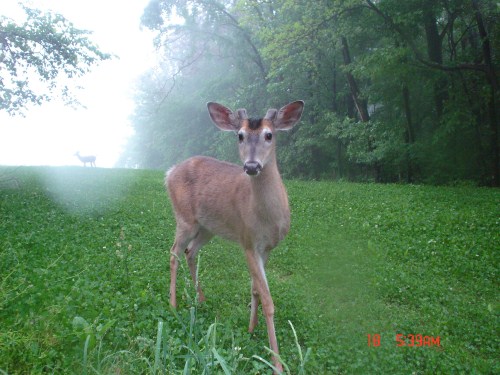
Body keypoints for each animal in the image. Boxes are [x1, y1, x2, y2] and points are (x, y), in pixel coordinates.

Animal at [166, 100, 302, 374]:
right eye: (240, 135)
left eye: (269, 135)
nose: (251, 166)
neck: (267, 218)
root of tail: (169, 172)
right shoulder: (247, 240)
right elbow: (268, 299)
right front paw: (276, 362)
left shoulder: (266, 248)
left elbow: (255, 289)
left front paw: (251, 328)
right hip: (184, 218)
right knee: (174, 252)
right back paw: (174, 305)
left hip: (207, 227)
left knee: (190, 251)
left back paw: (201, 298)